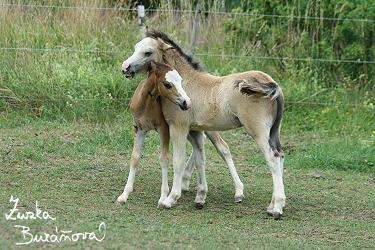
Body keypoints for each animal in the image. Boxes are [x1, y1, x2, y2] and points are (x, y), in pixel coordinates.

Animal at [122, 30, 286, 219]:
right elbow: (200, 158)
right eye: (135, 47)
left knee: (272, 158)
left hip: (258, 131)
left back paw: (276, 207)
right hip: (273, 131)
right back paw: (272, 204)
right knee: (280, 155)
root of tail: (271, 83)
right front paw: (200, 197)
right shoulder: (195, 130)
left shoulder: (178, 128)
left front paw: (170, 198)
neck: (185, 82)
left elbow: (178, 160)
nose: (125, 67)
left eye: (148, 52)